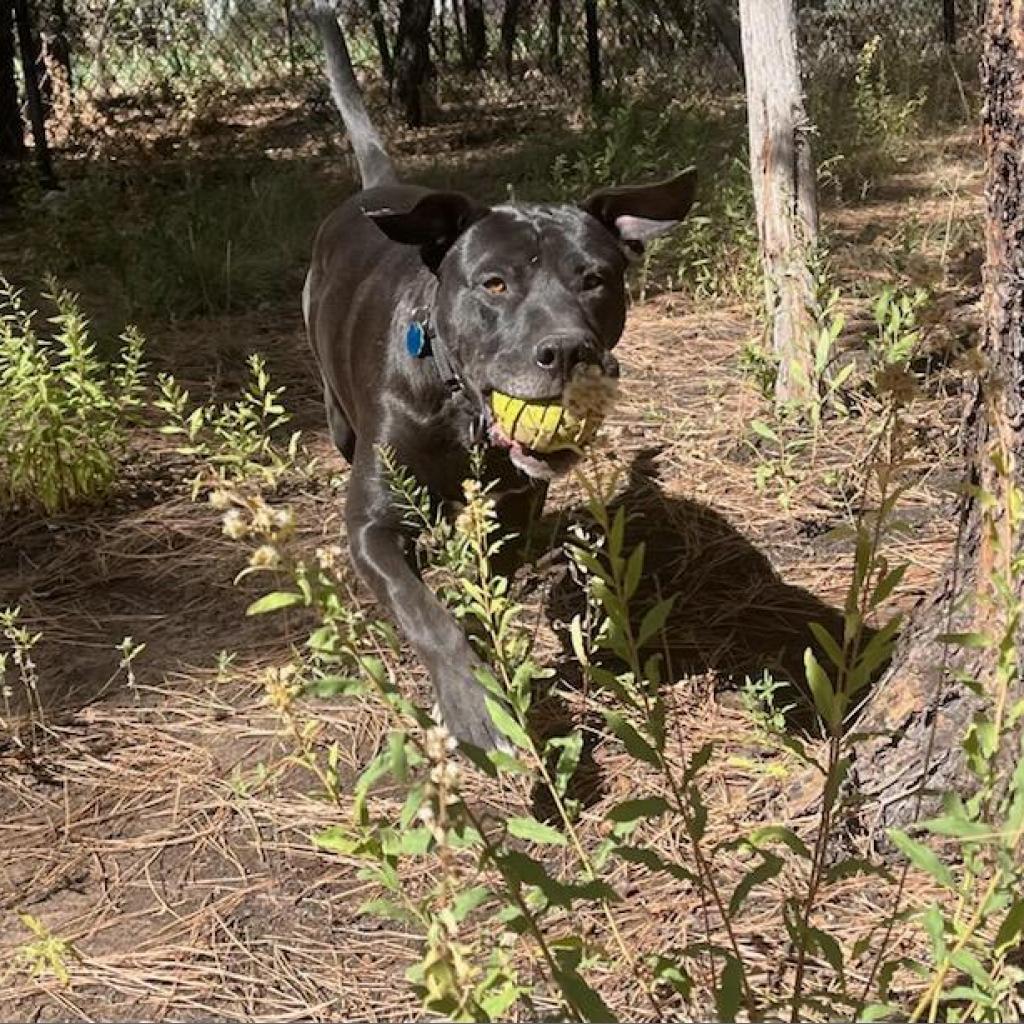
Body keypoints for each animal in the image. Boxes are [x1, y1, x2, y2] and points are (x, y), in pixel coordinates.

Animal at [299, 4, 692, 749]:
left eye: (596, 279)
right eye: (495, 283)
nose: (567, 352)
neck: (460, 412)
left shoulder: (514, 509)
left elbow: (491, 594)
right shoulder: (370, 526)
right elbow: (425, 613)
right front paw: (475, 704)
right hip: (336, 416)